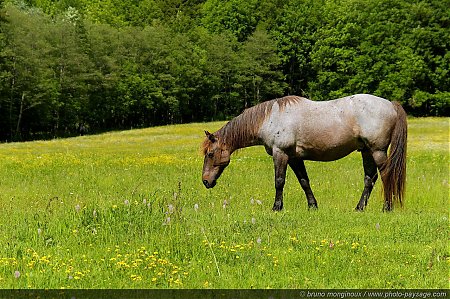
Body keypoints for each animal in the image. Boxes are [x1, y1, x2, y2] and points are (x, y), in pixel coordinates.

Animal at [201, 95, 408, 212]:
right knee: (369, 179)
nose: (205, 181)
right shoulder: (294, 158)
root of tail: (390, 104)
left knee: (386, 175)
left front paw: (276, 208)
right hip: (366, 151)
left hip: (377, 151)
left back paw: (387, 207)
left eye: (210, 154)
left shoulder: (280, 153)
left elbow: (279, 182)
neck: (270, 118)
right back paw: (359, 208)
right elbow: (304, 181)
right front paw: (313, 206)